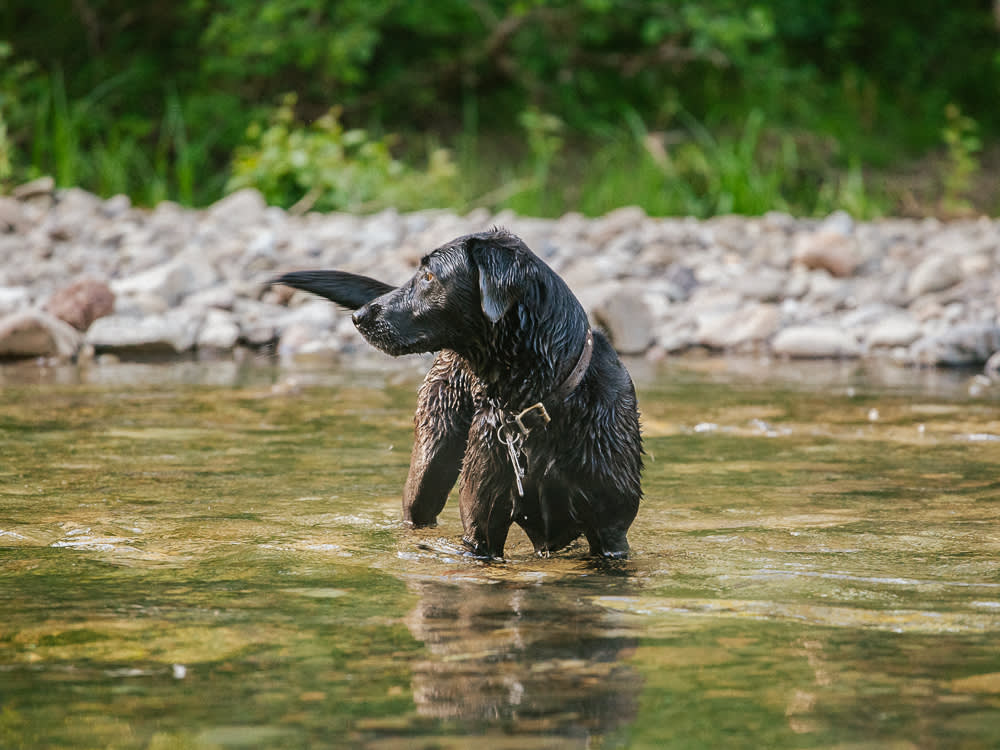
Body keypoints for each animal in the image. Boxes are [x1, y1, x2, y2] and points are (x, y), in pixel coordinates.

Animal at [274, 229, 644, 560]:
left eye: (428, 276)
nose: (359, 316)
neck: (531, 400)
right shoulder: (481, 531)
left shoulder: (612, 532)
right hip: (430, 461)